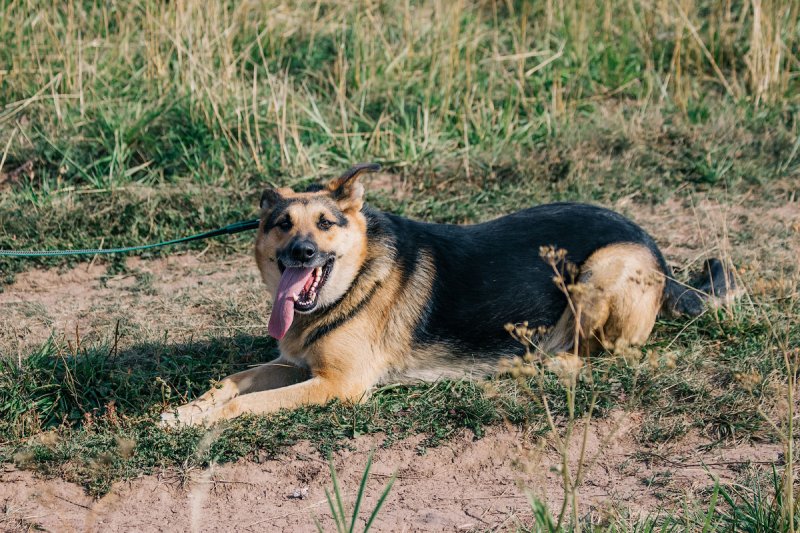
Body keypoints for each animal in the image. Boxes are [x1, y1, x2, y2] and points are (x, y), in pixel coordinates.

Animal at [162, 164, 736, 426]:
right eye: (282, 224)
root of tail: (655, 248)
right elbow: (233, 382)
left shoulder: (337, 384)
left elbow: (247, 403)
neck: (355, 279)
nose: (301, 252)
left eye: (325, 224)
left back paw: (534, 365)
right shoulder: (295, 365)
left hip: (601, 269)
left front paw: (203, 420)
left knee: (597, 356)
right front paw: (185, 411)